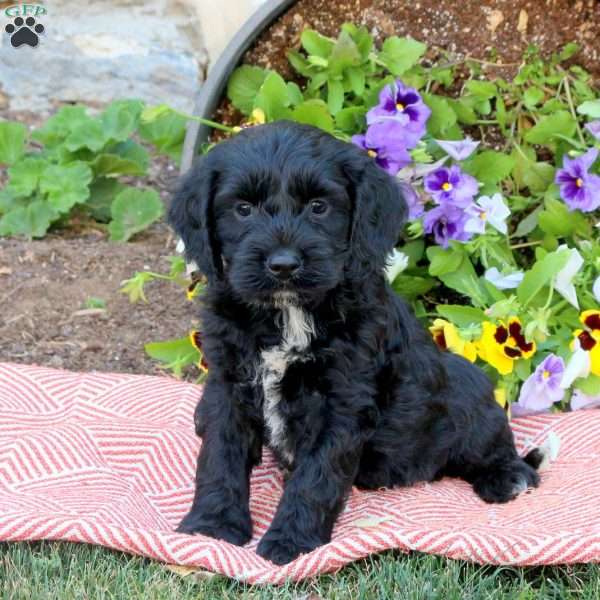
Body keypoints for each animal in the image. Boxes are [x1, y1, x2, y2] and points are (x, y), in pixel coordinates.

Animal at [170, 123, 544, 568]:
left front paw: (290, 542)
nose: (283, 265)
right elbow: (220, 456)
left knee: (493, 441)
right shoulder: (228, 384)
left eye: (318, 207)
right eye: (243, 209)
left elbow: (317, 475)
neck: (288, 314)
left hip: (466, 387)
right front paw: (212, 528)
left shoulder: (343, 400)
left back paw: (509, 476)